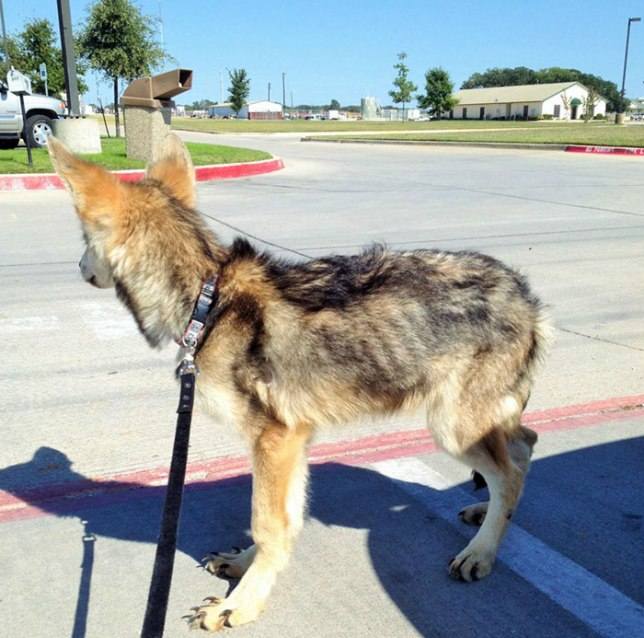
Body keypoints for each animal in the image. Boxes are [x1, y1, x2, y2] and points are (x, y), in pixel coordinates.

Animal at [49, 135, 552, 636]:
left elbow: (267, 523)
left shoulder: (275, 440)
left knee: (510, 473)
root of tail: (524, 293)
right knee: (524, 445)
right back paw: (486, 513)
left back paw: (480, 551)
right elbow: (281, 522)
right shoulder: (291, 442)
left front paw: (239, 604)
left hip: (452, 428)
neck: (206, 301)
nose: (77, 265)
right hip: (478, 423)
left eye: (83, 240)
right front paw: (245, 567)